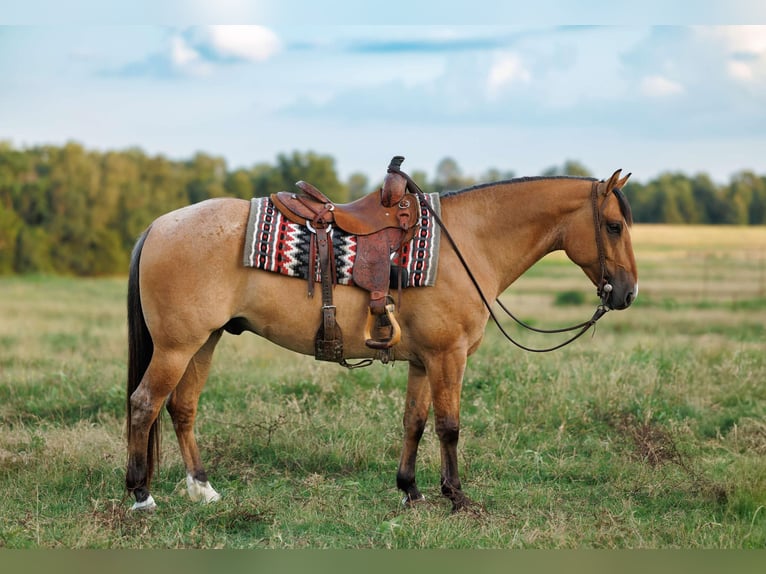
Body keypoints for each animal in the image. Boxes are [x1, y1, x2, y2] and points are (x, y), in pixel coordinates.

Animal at [125, 168, 638, 512]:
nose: (628, 292)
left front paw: (410, 489)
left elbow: (414, 422)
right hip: (176, 347)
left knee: (182, 408)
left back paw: (202, 488)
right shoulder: (448, 356)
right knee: (145, 404)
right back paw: (141, 495)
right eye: (614, 226)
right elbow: (449, 426)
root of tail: (157, 226)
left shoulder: (422, 360)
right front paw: (457, 497)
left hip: (204, 341)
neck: (468, 243)